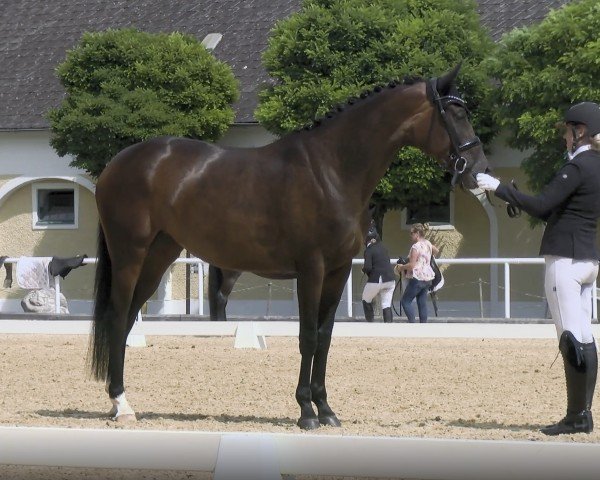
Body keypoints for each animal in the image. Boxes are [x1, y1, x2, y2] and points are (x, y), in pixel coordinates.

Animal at [92, 63, 488, 428]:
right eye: (456, 113)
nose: (477, 169)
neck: (332, 169)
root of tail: (116, 165)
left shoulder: (337, 271)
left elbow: (325, 337)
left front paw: (326, 409)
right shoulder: (311, 269)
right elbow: (308, 336)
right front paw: (306, 412)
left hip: (160, 255)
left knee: (127, 319)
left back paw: (119, 402)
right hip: (130, 255)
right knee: (117, 317)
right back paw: (121, 404)